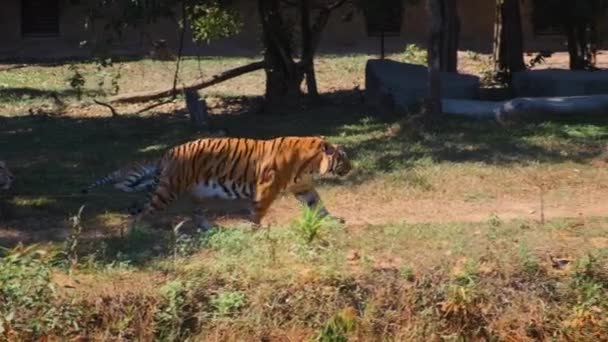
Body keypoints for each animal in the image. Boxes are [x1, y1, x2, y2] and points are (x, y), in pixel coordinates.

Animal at [86, 136, 352, 230]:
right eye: (343, 158)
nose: (351, 168)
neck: (312, 163)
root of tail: (168, 152)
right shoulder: (267, 187)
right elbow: (259, 210)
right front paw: (253, 229)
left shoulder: (303, 187)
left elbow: (318, 204)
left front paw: (333, 220)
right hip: (169, 189)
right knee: (148, 210)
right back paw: (138, 228)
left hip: (197, 193)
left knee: (196, 213)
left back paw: (209, 228)